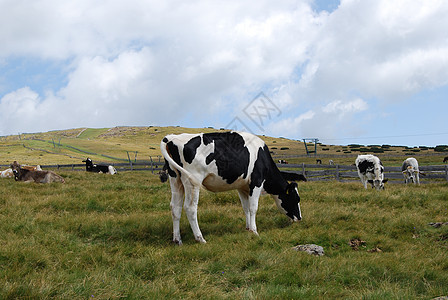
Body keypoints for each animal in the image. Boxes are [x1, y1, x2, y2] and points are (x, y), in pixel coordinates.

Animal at [158, 131, 304, 244]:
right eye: (296, 199)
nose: (299, 218)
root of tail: (171, 138)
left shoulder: (242, 186)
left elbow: (245, 208)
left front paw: (248, 228)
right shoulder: (256, 182)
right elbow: (253, 208)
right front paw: (255, 231)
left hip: (175, 179)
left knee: (175, 207)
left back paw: (177, 240)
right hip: (192, 180)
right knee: (190, 208)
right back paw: (200, 238)